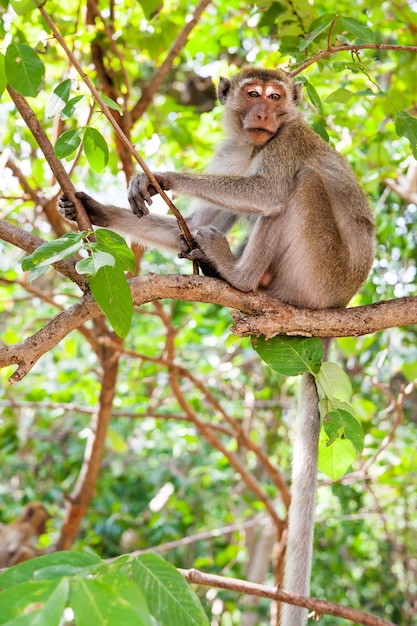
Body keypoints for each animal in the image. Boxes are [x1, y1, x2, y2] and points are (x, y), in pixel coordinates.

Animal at [60, 66, 376, 620]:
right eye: (252, 94)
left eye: (275, 96)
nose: (265, 113)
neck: (255, 145)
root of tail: (338, 309)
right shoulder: (232, 154)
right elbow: (200, 218)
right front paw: (94, 209)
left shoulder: (287, 143)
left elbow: (269, 191)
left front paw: (162, 176)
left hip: (319, 274)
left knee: (297, 187)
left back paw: (240, 277)